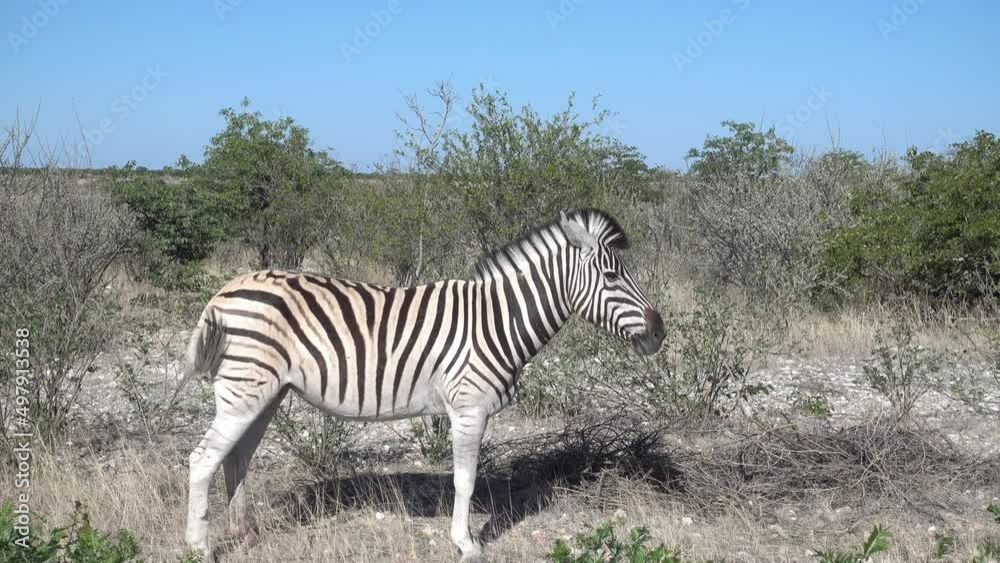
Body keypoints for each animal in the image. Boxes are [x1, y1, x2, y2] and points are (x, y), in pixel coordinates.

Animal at [182, 209, 664, 560]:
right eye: (612, 277)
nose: (660, 332)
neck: (497, 322)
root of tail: (226, 289)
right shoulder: (469, 408)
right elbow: (465, 480)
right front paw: (466, 544)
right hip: (245, 390)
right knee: (203, 459)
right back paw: (199, 547)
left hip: (267, 392)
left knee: (236, 459)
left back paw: (244, 536)